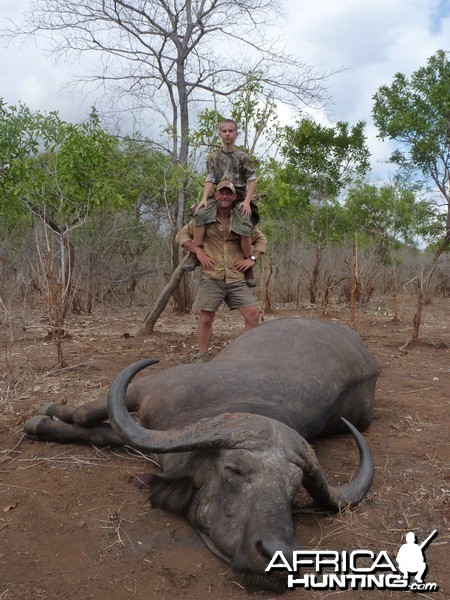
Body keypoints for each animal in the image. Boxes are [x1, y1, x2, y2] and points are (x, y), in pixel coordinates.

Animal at [23, 318, 380, 592]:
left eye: (293, 489)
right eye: (234, 471)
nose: (279, 556)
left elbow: (104, 431)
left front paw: (44, 421)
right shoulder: (144, 388)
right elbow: (85, 415)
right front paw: (44, 415)